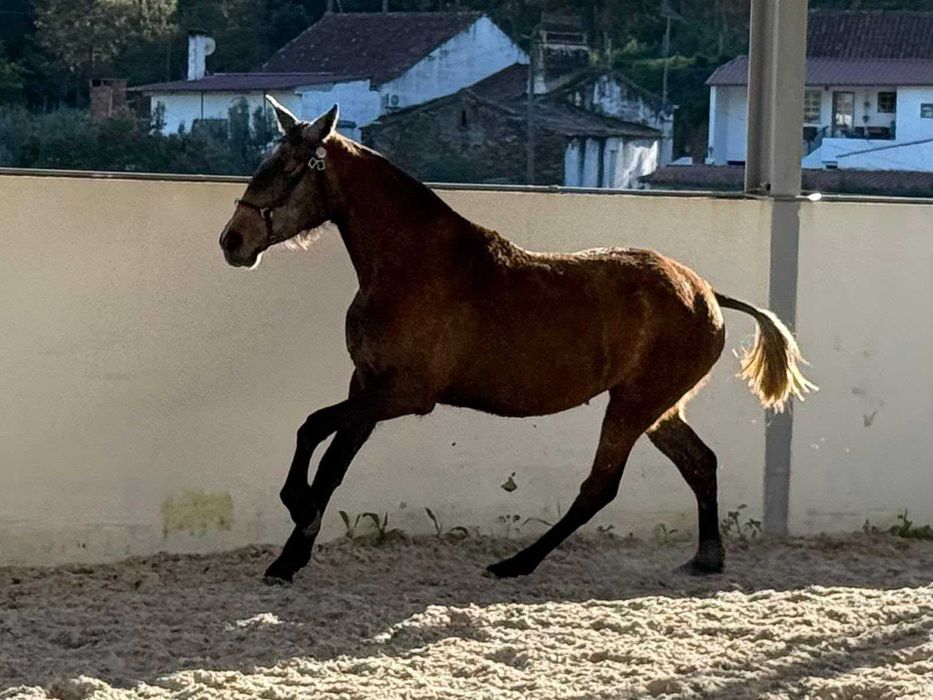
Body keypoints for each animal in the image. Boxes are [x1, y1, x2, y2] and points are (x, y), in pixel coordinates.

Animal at [219, 97, 816, 584]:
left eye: (288, 170)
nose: (233, 241)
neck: (411, 266)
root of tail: (707, 293)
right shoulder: (365, 384)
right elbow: (330, 458)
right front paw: (290, 555)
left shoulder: (405, 394)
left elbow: (314, 434)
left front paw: (297, 513)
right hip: (658, 408)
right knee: (700, 463)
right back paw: (705, 558)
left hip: (634, 405)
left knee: (601, 486)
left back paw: (516, 563)